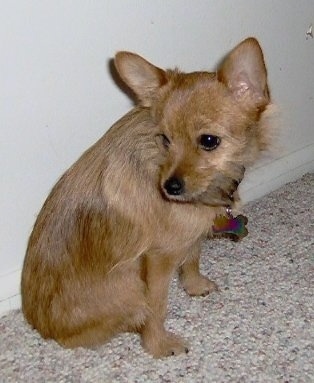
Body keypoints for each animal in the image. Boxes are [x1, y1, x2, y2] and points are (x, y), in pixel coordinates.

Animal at [20, 37, 272, 358]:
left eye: (208, 141)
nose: (170, 187)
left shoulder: (189, 233)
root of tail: (45, 330)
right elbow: (157, 307)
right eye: (165, 139)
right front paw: (158, 344)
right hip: (130, 285)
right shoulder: (157, 260)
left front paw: (194, 286)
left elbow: (193, 256)